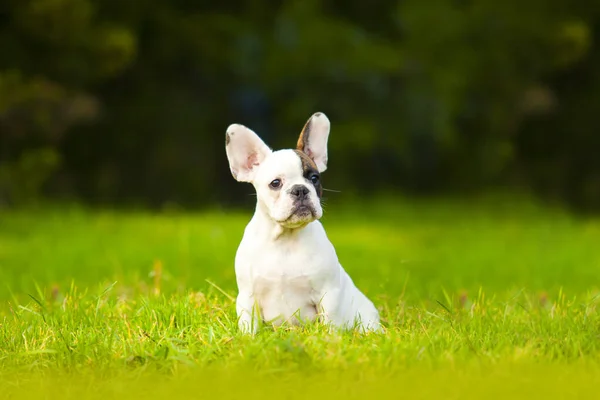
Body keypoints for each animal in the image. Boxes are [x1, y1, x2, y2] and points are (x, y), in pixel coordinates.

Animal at [225, 111, 380, 334]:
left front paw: (329, 339)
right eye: (275, 183)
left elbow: (330, 323)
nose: (300, 189)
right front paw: (247, 339)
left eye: (314, 178)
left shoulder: (328, 294)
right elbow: (249, 325)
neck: (285, 239)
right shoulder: (247, 297)